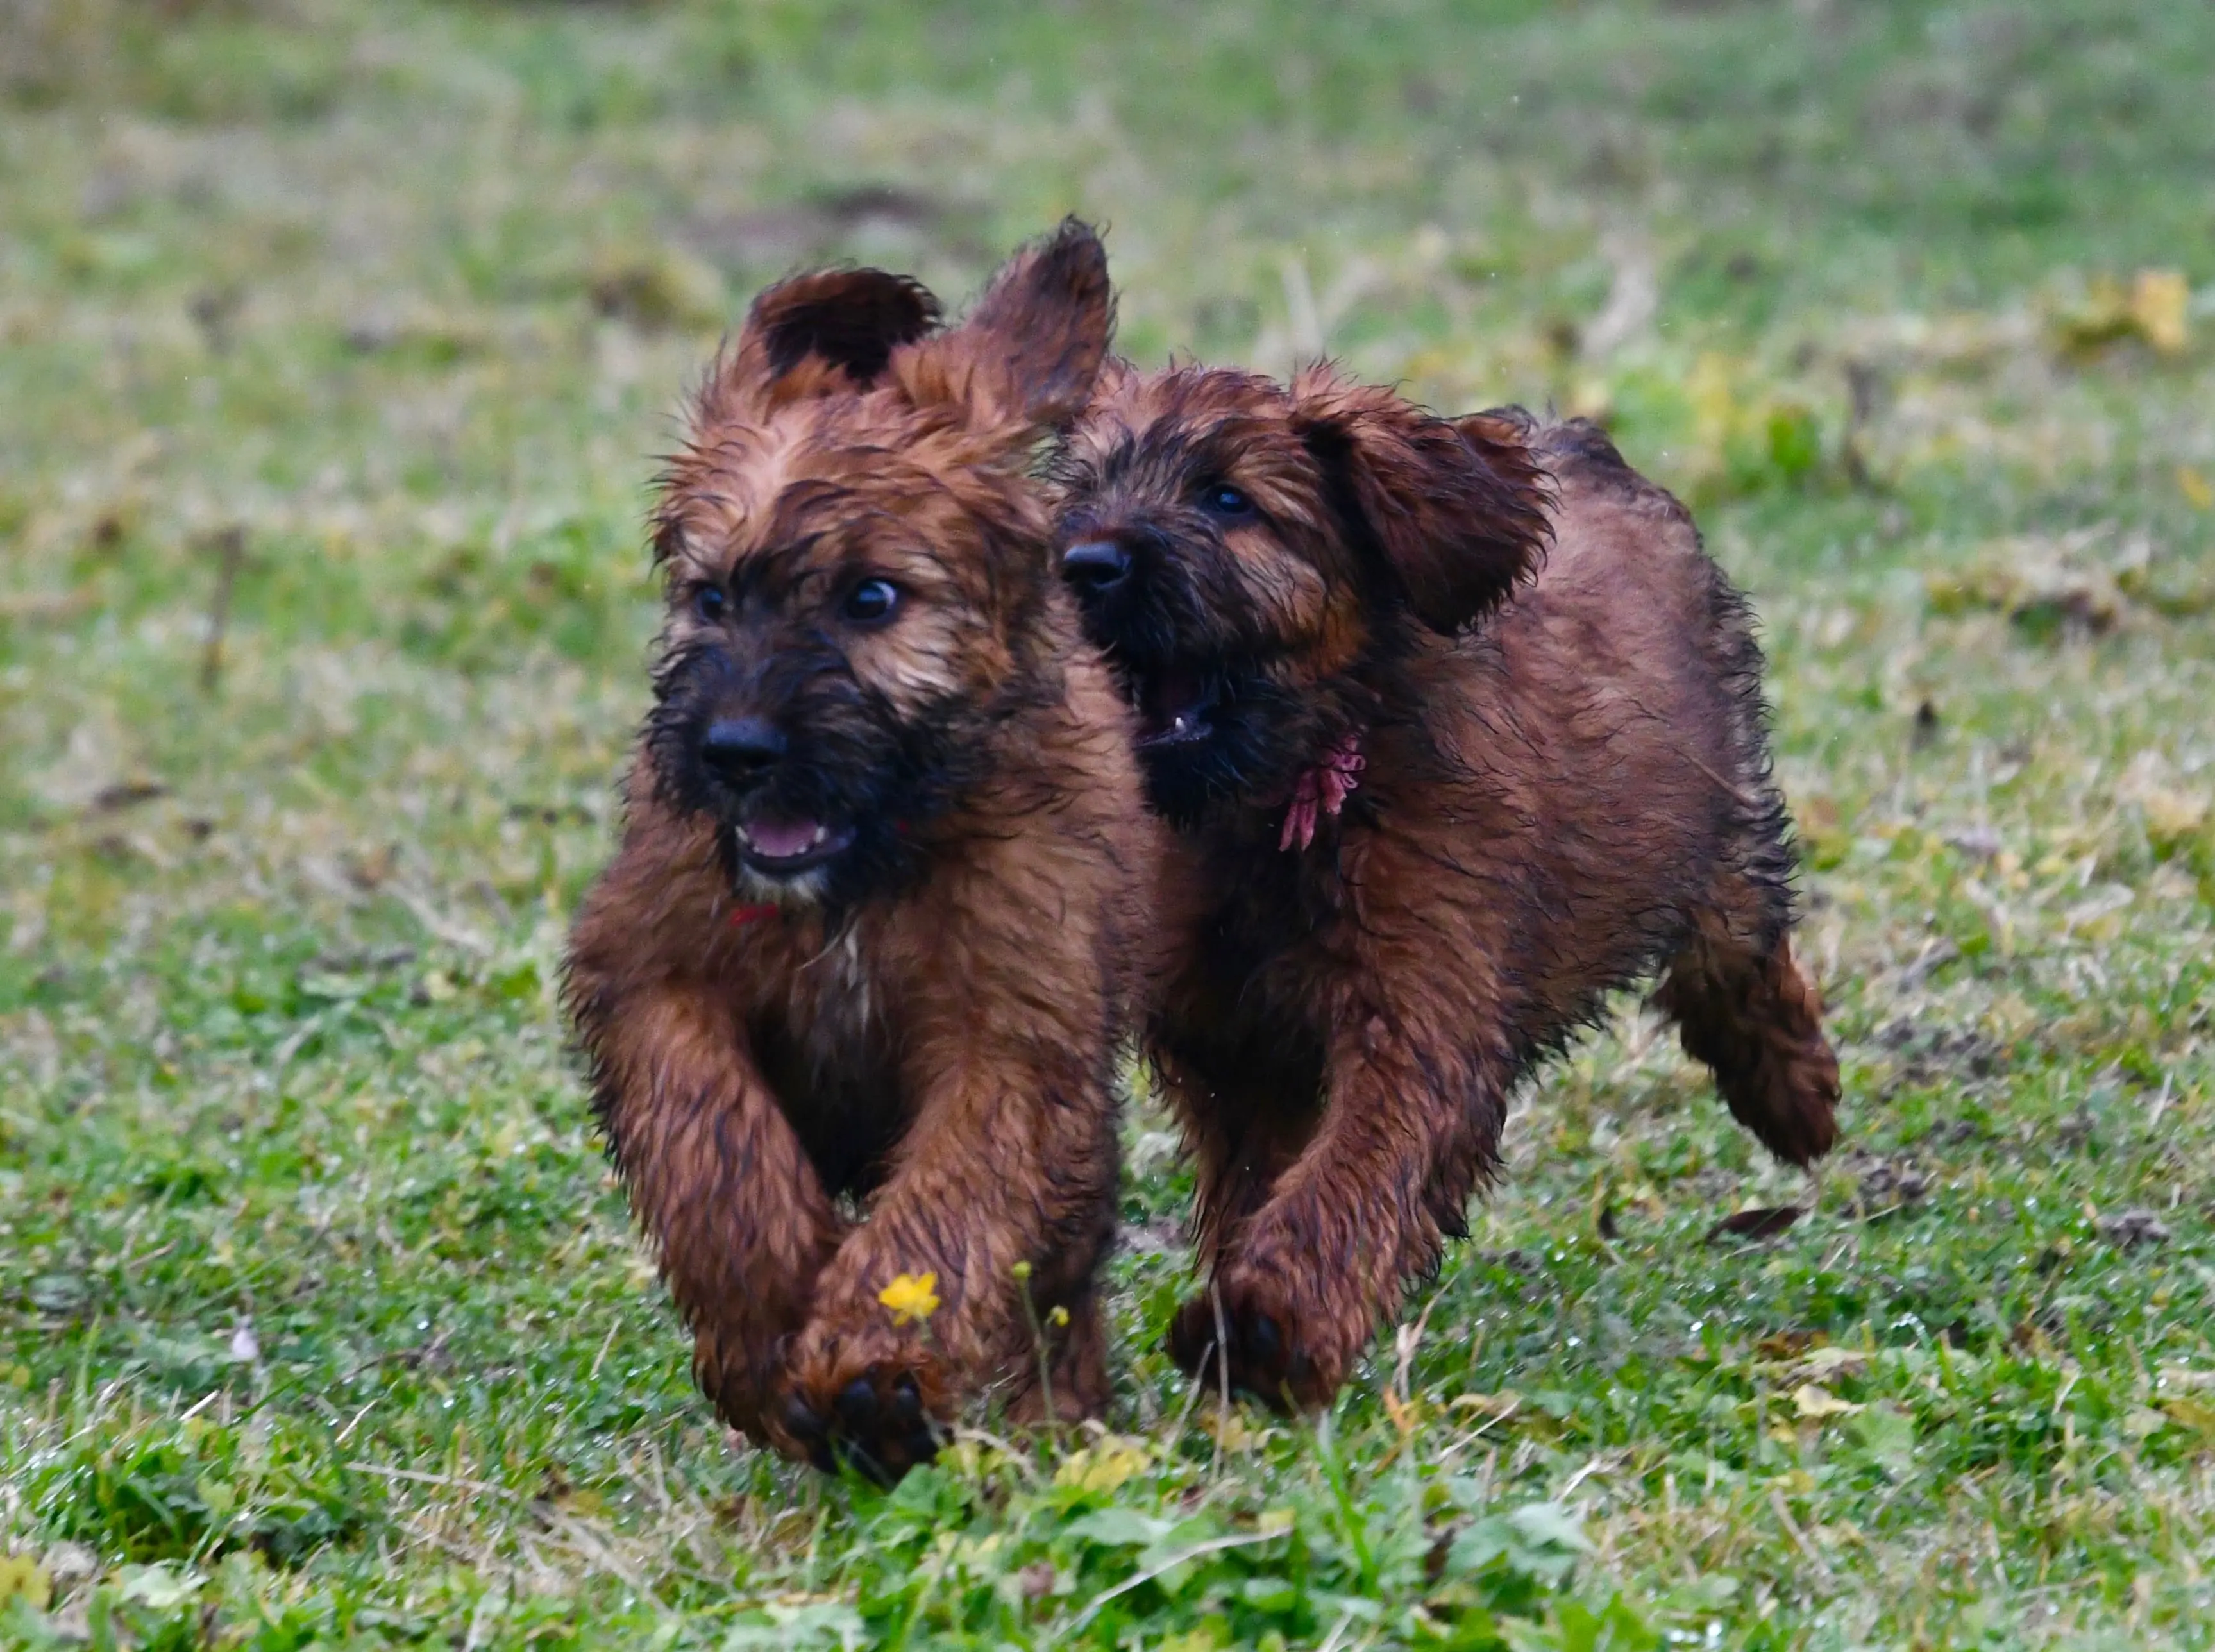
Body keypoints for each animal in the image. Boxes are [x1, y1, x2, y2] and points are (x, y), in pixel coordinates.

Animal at [562, 223, 1169, 1479]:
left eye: (872, 598)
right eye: (709, 596)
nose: (737, 751)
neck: (859, 884)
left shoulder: (1018, 1038)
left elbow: (956, 1201)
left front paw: (874, 1364)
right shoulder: (652, 970)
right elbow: (714, 1147)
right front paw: (763, 1331)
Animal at [1045, 367, 1842, 1408]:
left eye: (1227, 499)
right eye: (1082, 490)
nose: (1085, 563)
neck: (1282, 806)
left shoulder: (1418, 1011)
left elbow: (1353, 1173)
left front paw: (1267, 1325)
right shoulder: (1232, 1052)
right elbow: (1265, 1177)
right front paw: (1249, 1313)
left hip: (1714, 820)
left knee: (1737, 946)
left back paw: (1794, 1094)